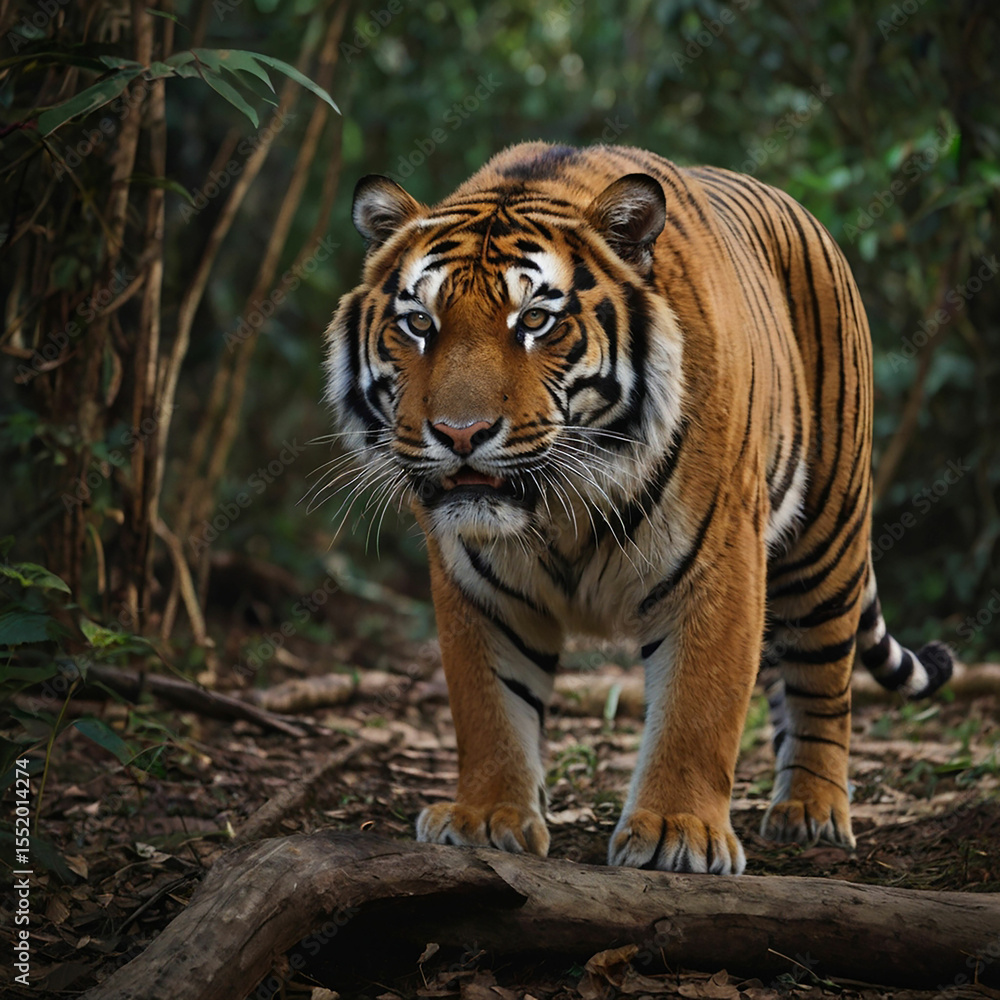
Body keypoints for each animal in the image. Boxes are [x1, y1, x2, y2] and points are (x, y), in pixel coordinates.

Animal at [324, 141, 953, 874]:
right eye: (420, 324)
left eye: (534, 320)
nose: (459, 433)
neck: (559, 506)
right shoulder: (476, 588)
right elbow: (488, 705)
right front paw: (485, 818)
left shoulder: (719, 565)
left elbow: (698, 706)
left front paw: (677, 831)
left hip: (828, 534)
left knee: (822, 675)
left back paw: (812, 811)